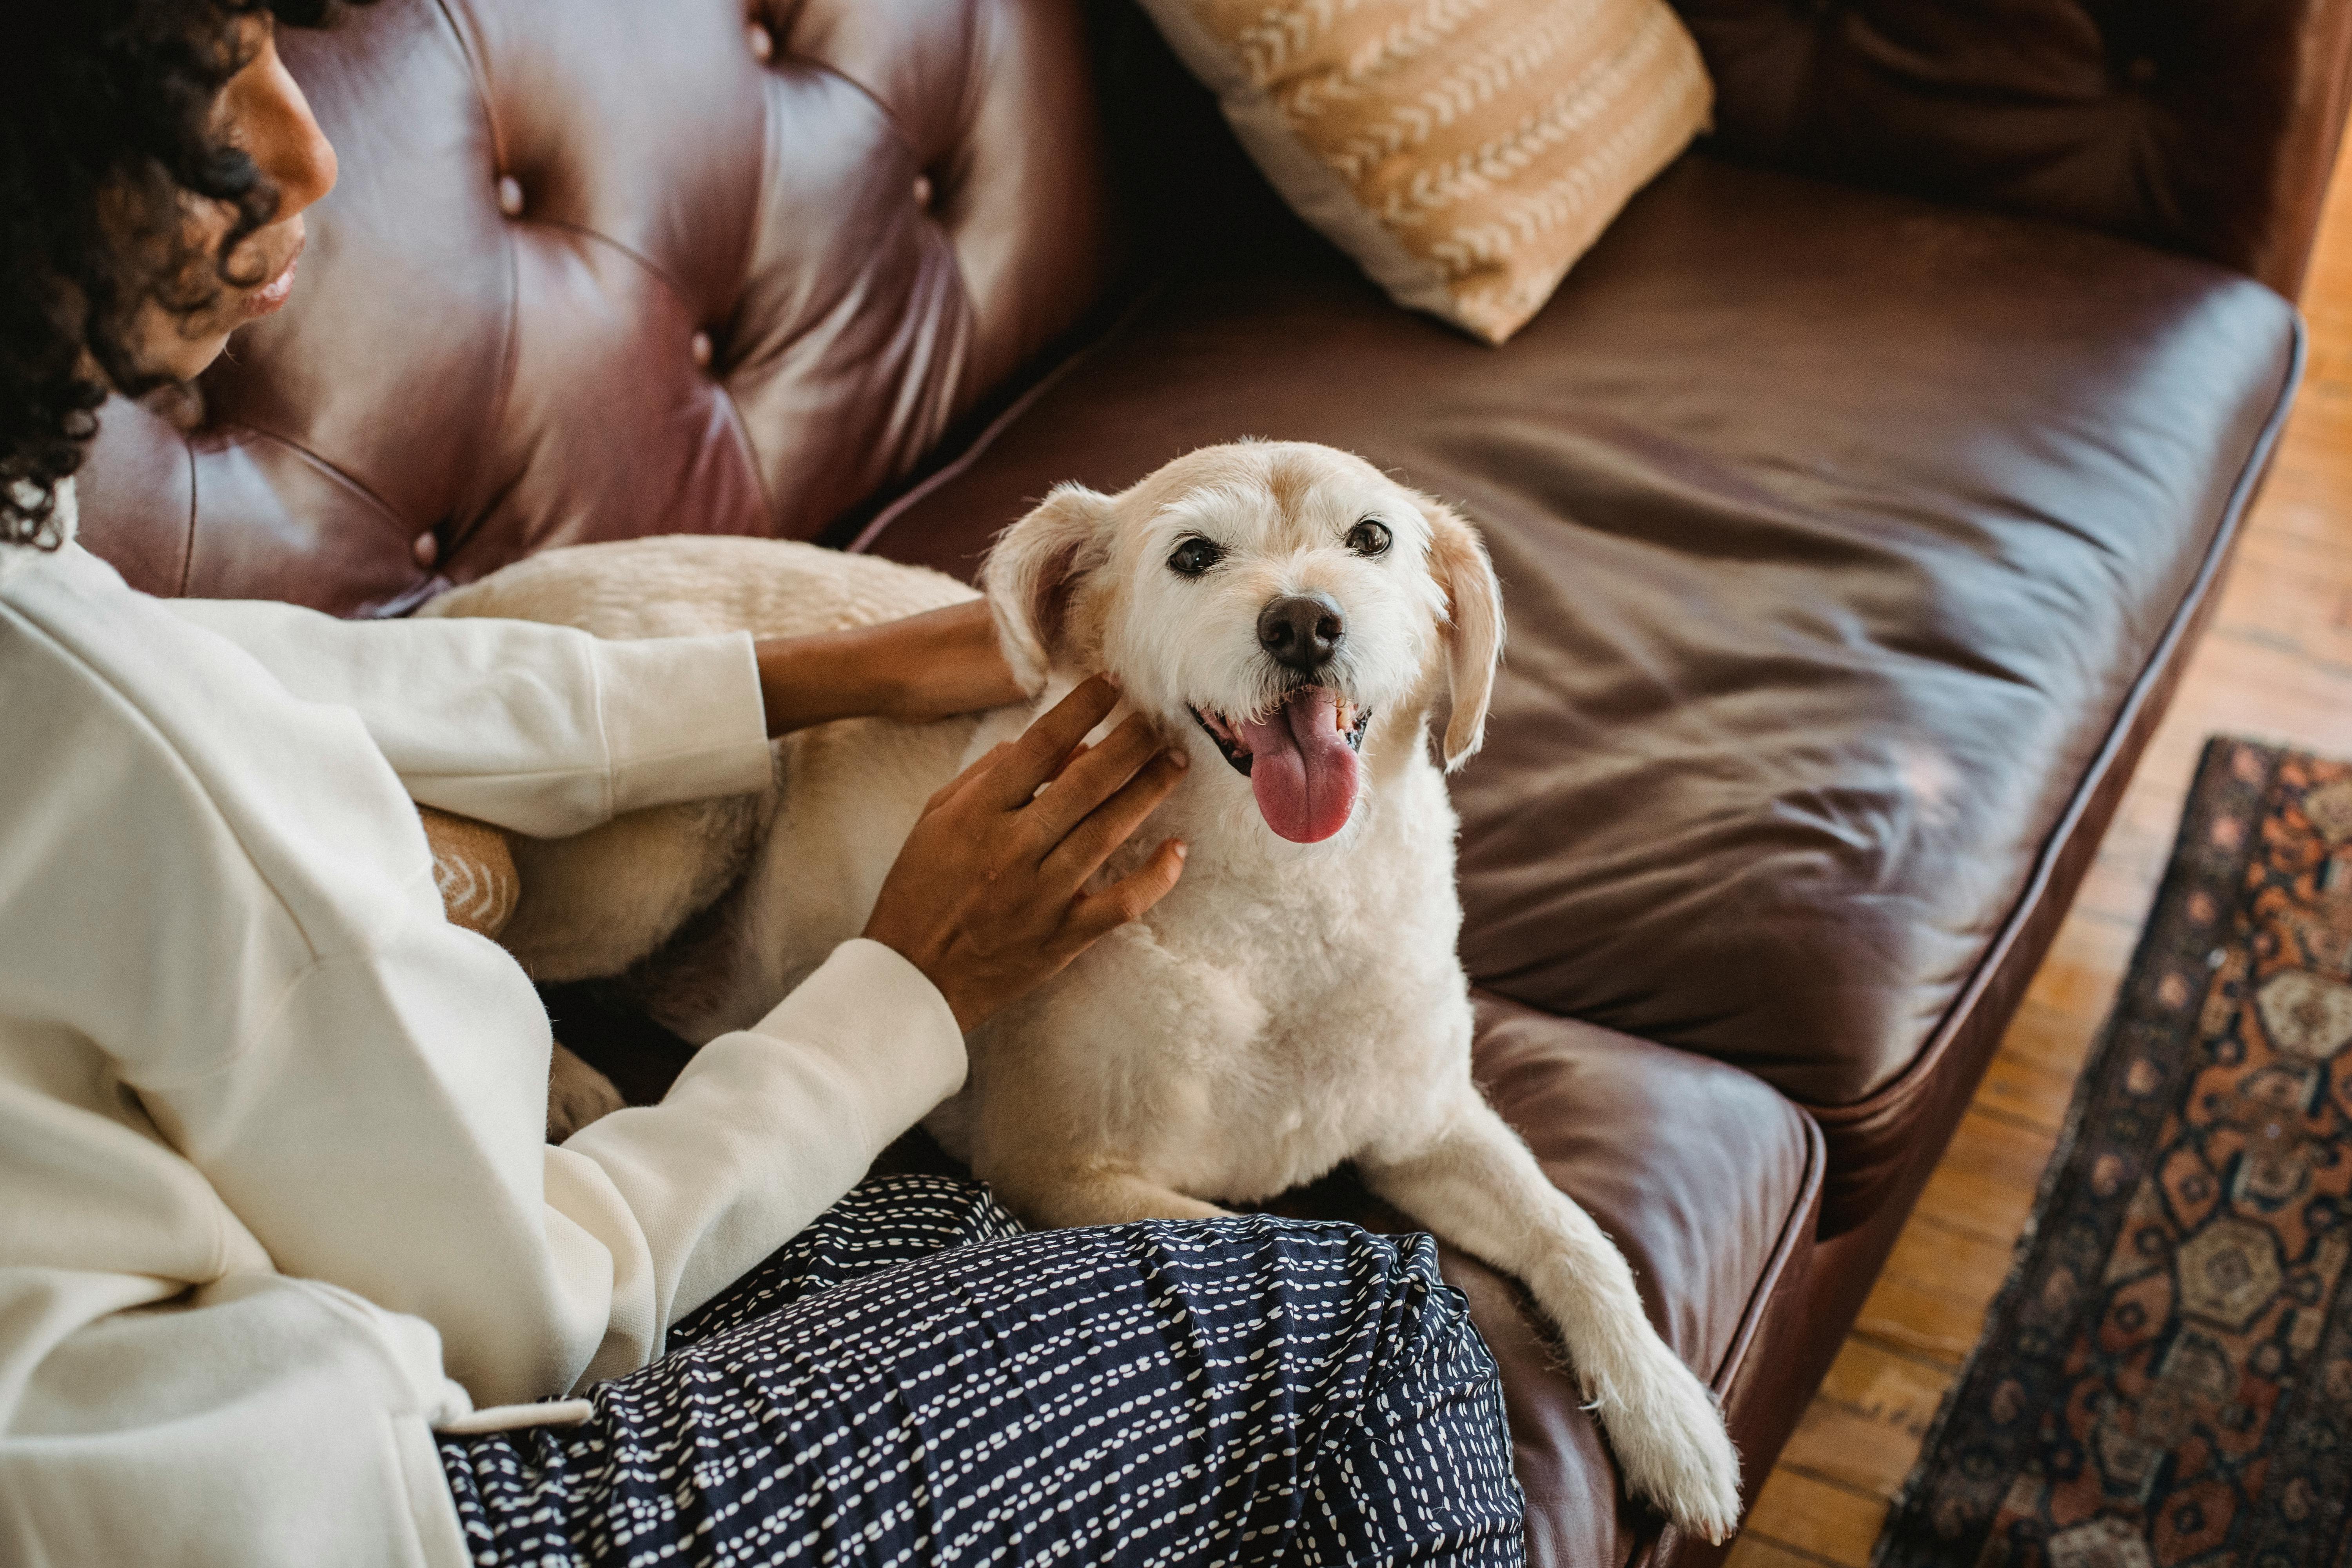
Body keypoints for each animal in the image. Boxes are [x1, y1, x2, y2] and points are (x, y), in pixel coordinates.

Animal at [428, 444, 1750, 1542]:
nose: (1305, 621)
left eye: (1371, 537)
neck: (1285, 900)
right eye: (1194, 555)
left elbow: (1577, 1237)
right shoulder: (1062, 1172)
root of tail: (459, 601)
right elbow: (1273, 1233)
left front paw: (1675, 1423)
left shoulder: (1425, 1123)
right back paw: (560, 1080)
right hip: (678, 828)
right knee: (502, 938)